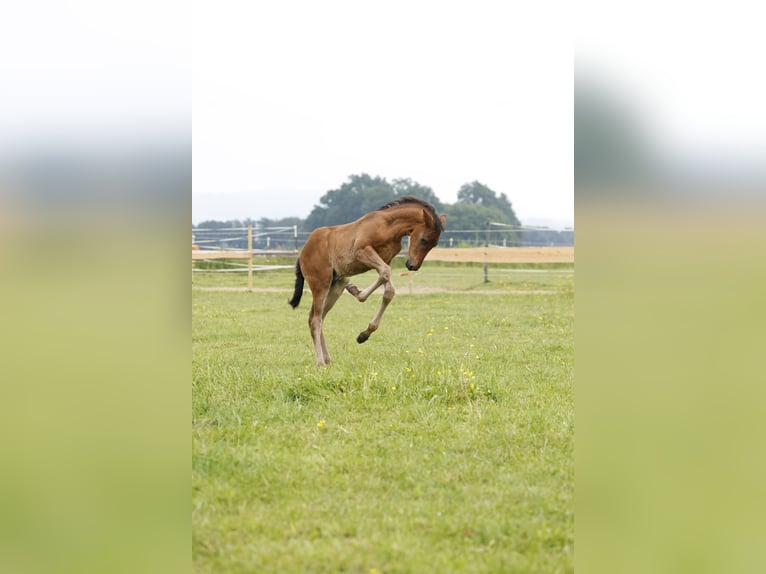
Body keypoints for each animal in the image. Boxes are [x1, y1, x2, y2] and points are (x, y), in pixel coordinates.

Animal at [288, 198, 448, 366]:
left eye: (434, 244)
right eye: (423, 239)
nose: (413, 266)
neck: (388, 226)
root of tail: (303, 252)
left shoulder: (386, 259)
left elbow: (388, 289)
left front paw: (363, 334)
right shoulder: (362, 251)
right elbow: (385, 273)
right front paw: (358, 293)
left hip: (336, 285)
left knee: (318, 318)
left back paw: (327, 358)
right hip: (321, 283)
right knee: (315, 320)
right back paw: (320, 362)